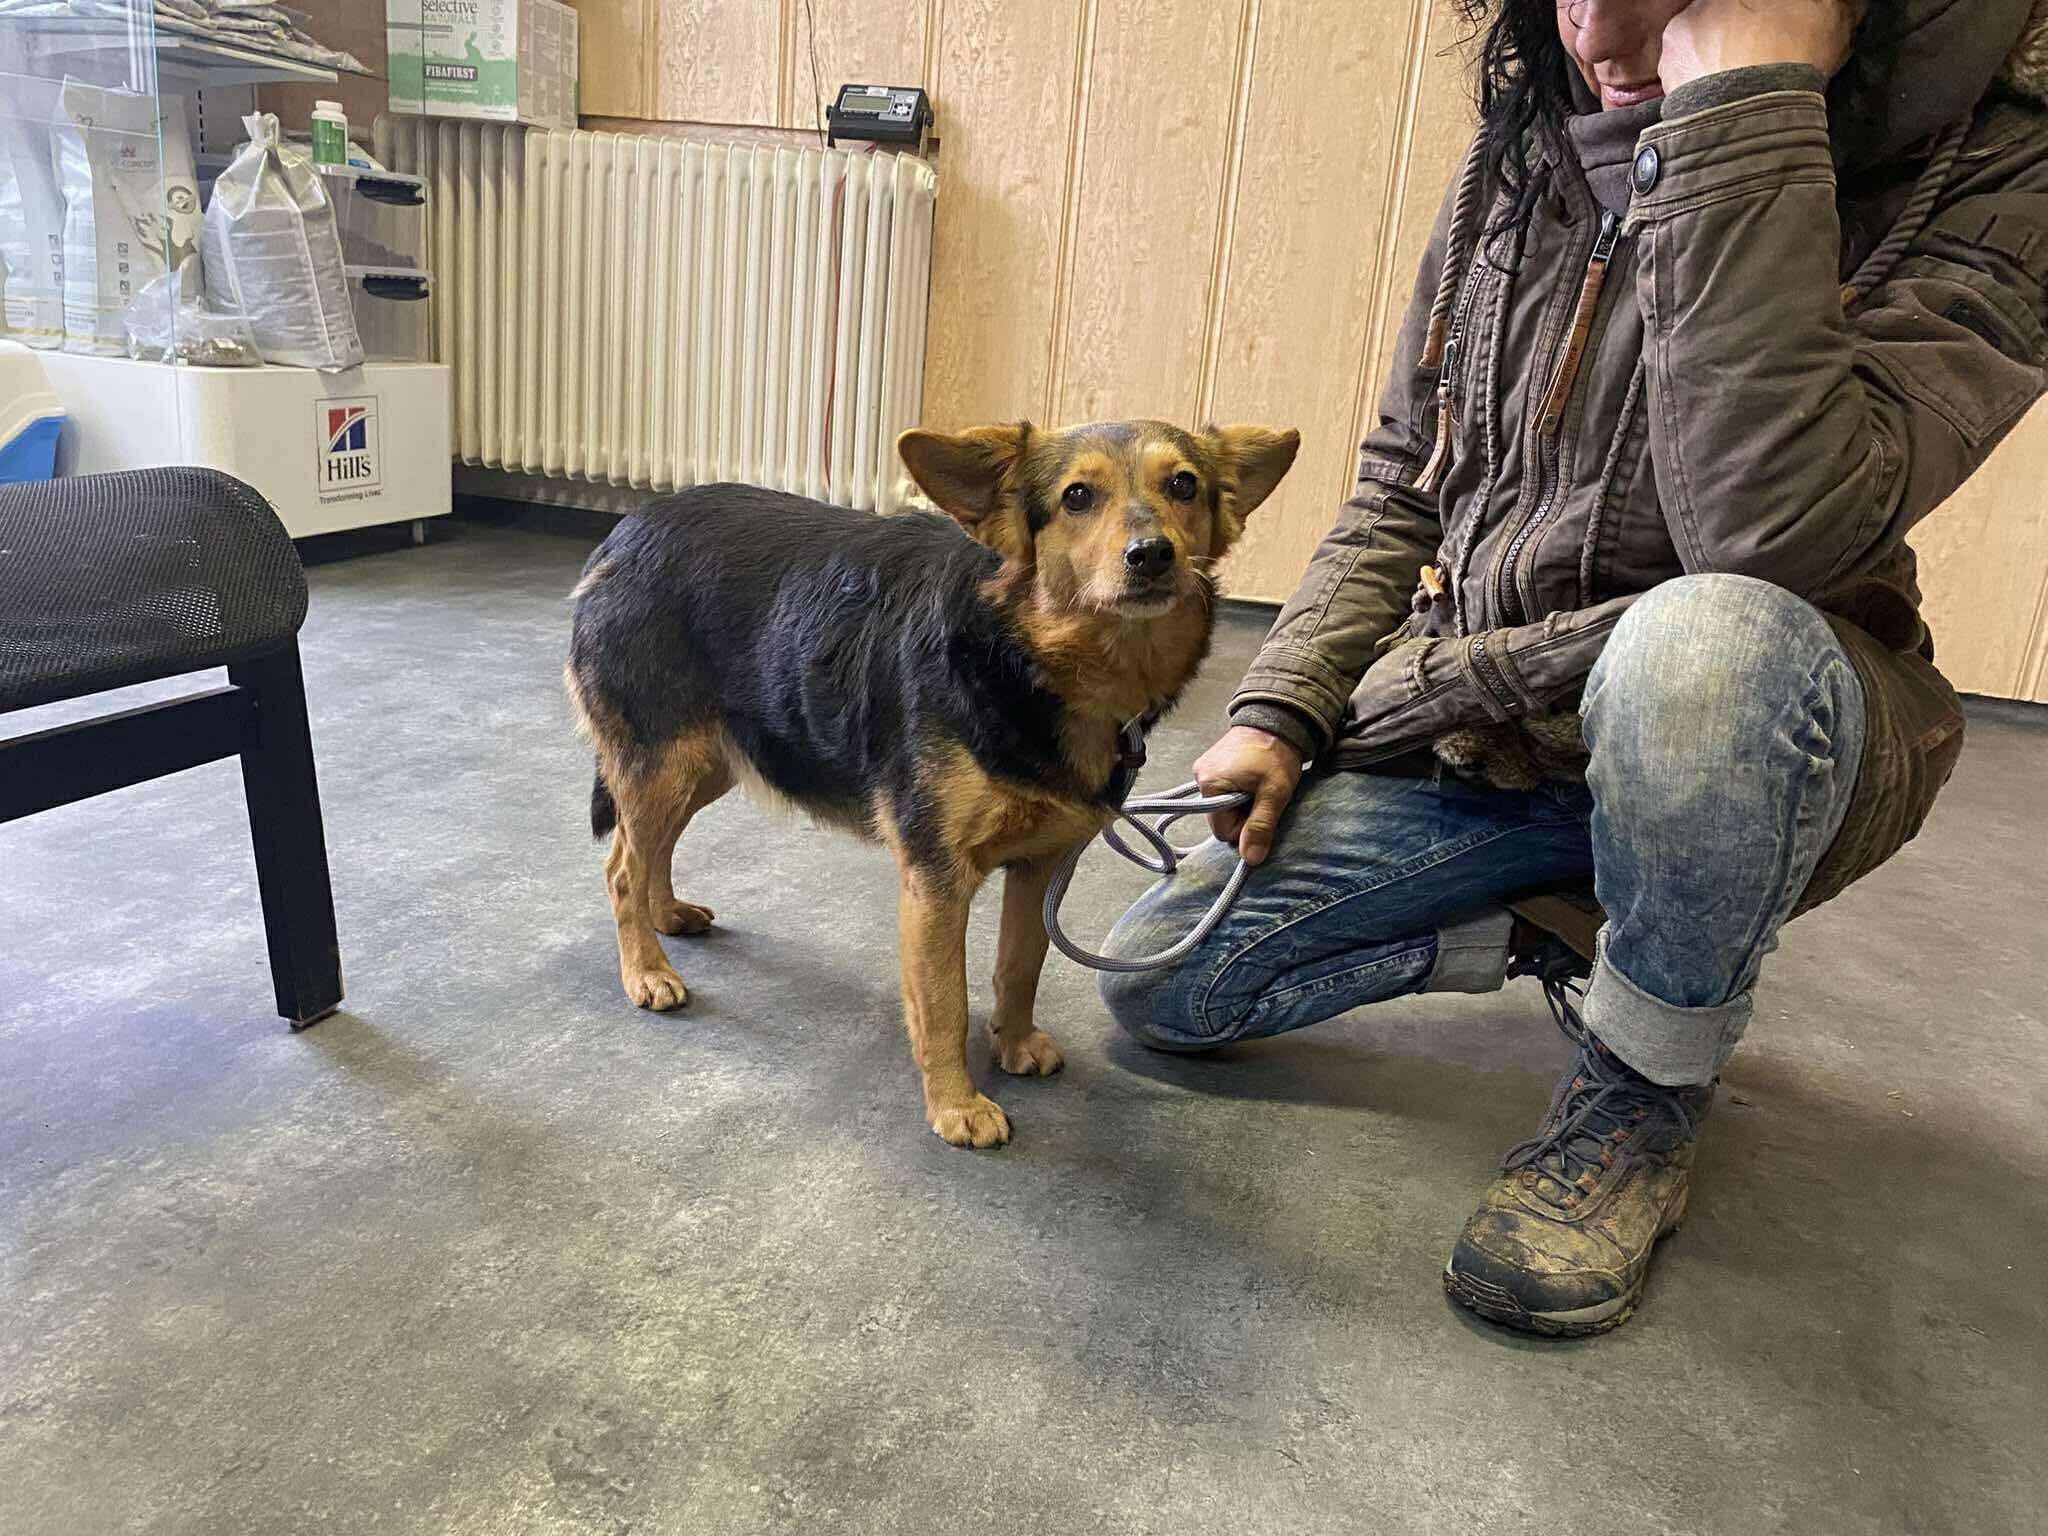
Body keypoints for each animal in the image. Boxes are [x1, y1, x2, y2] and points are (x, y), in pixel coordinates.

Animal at [565, 419, 1299, 1147]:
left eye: (1184, 486)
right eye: (1077, 496)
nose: (1152, 555)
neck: (1028, 657)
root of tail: (628, 530)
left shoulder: (1039, 866)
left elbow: (1019, 966)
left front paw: (1015, 1043)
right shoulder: (936, 877)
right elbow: (945, 1000)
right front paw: (956, 1104)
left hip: (708, 760)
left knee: (649, 845)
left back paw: (664, 916)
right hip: (665, 759)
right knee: (621, 867)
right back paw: (647, 970)